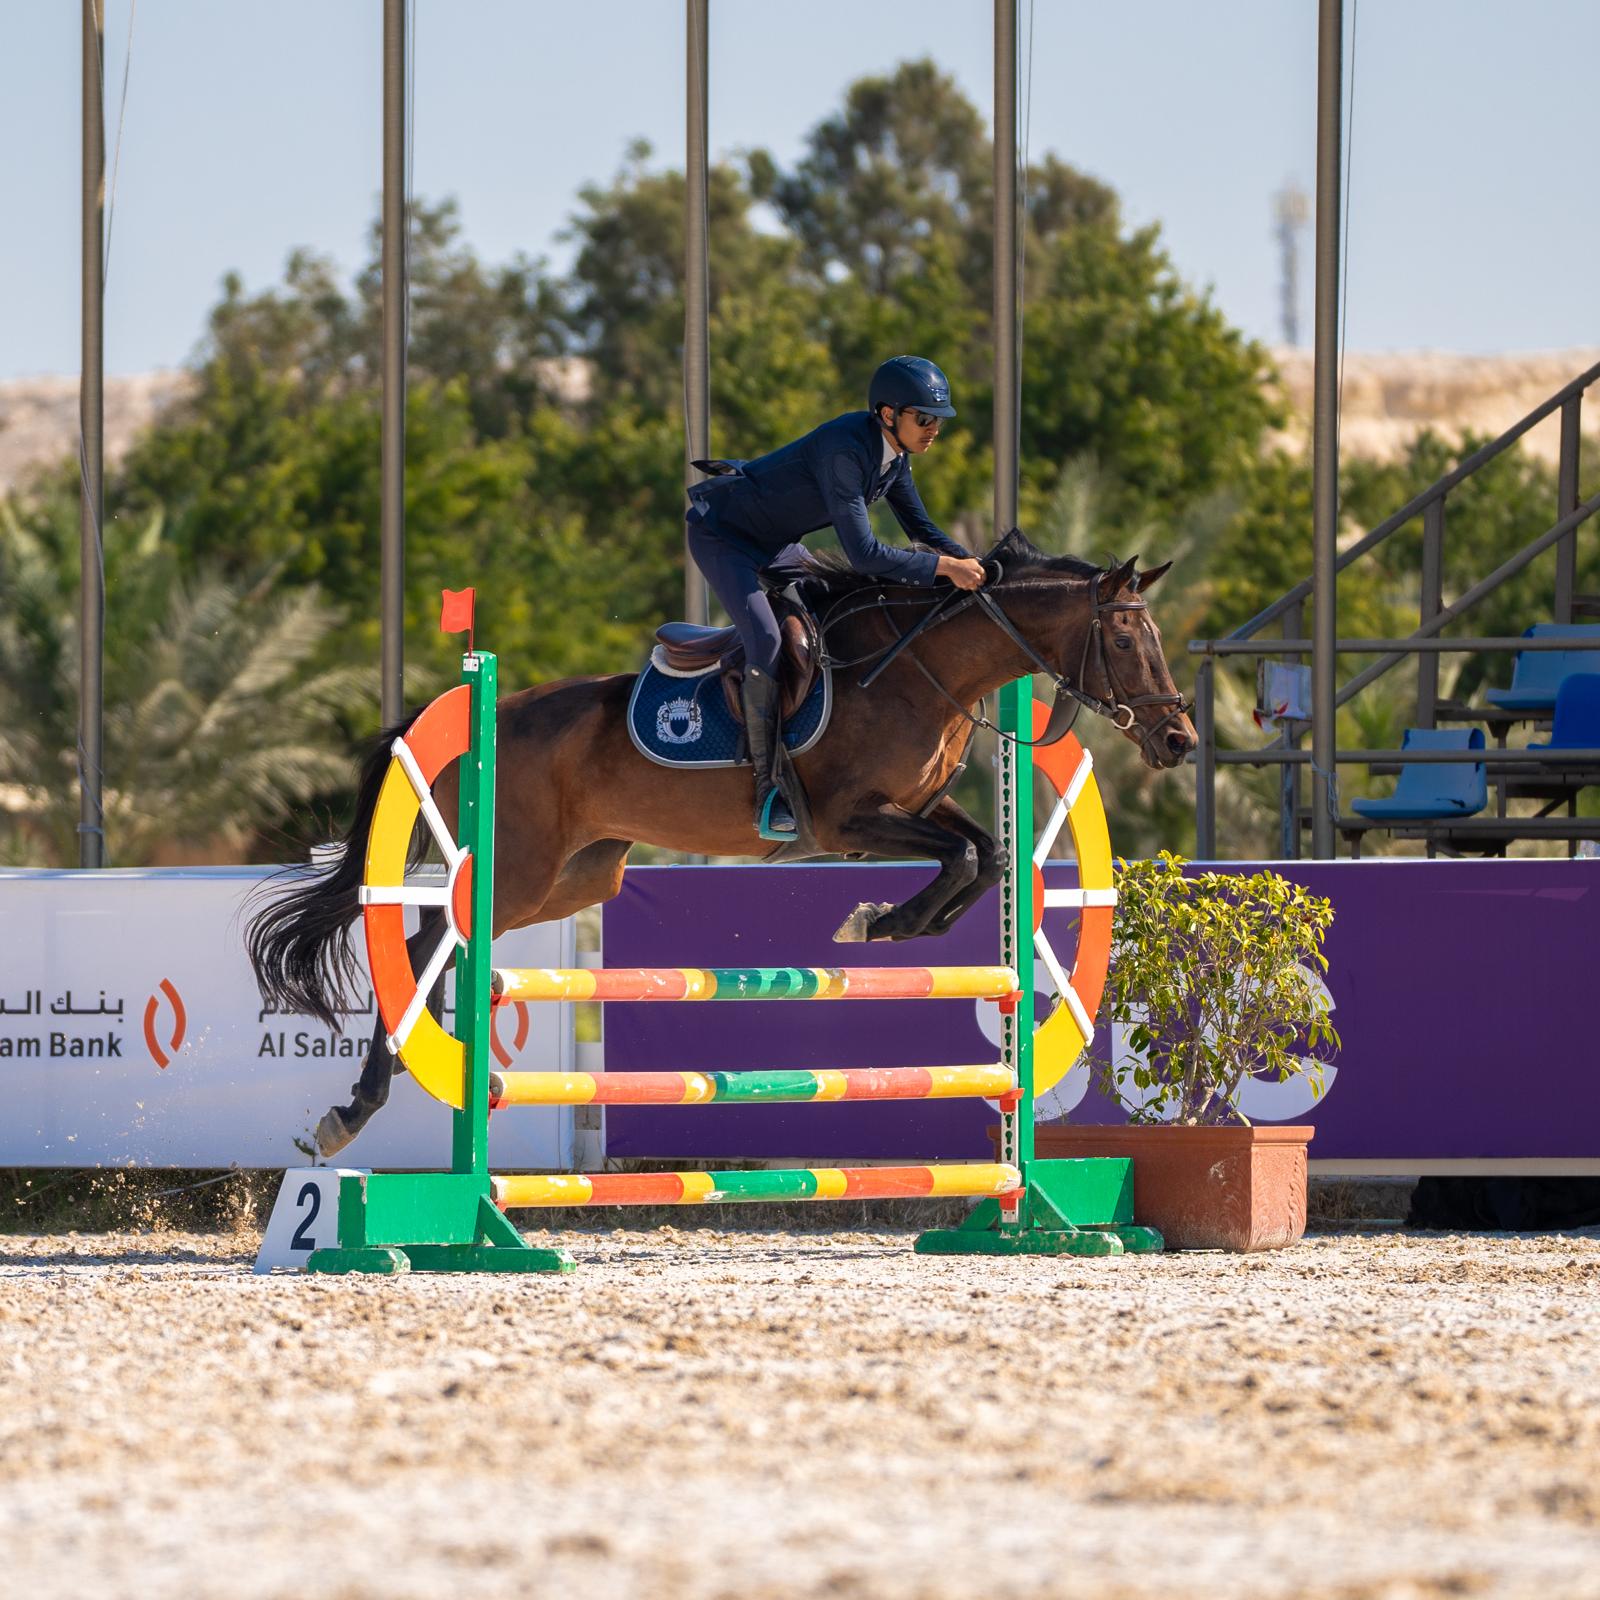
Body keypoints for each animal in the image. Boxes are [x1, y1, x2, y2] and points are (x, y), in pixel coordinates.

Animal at [245, 529, 1195, 1154]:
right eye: (1123, 637)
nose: (1180, 740)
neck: (918, 670)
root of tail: (466, 717)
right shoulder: (844, 819)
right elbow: (963, 857)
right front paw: (878, 922)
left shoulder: (918, 805)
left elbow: (986, 855)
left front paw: (892, 923)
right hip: (516, 870)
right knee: (426, 938)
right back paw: (362, 1102)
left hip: (576, 879)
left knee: (432, 935)